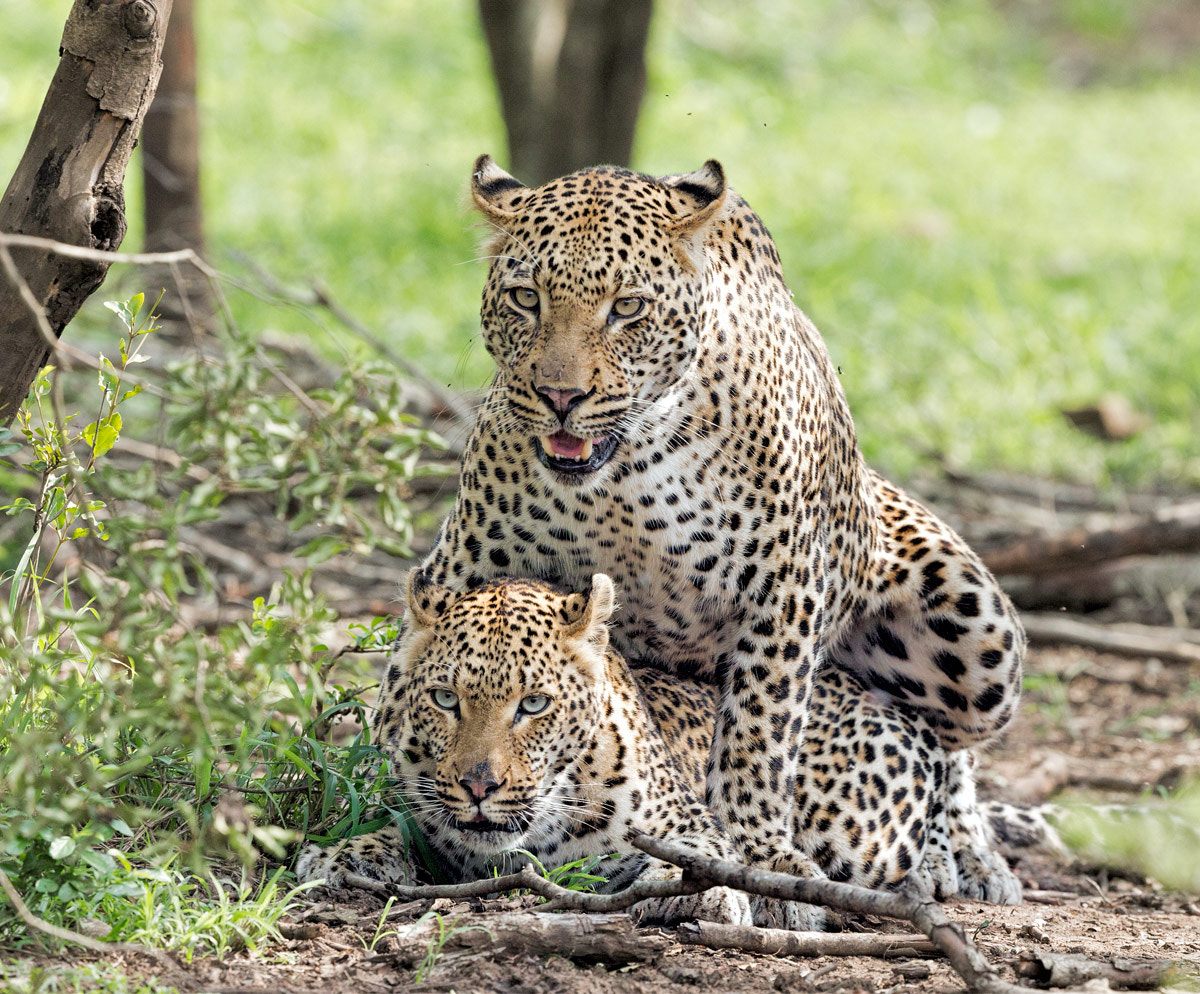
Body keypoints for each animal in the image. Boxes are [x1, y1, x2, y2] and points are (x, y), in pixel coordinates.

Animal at [300, 573, 1022, 921]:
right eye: (446, 699)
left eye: (533, 705)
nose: (480, 786)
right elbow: (401, 831)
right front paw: (341, 854)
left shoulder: (689, 823)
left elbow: (699, 856)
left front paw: (691, 890)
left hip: (856, 818)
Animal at [410, 154, 1022, 921]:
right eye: (526, 298)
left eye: (628, 308)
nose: (560, 397)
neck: (625, 475)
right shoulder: (466, 560)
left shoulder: (784, 590)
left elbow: (759, 736)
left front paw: (761, 862)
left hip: (979, 638)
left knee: (949, 749)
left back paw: (962, 855)